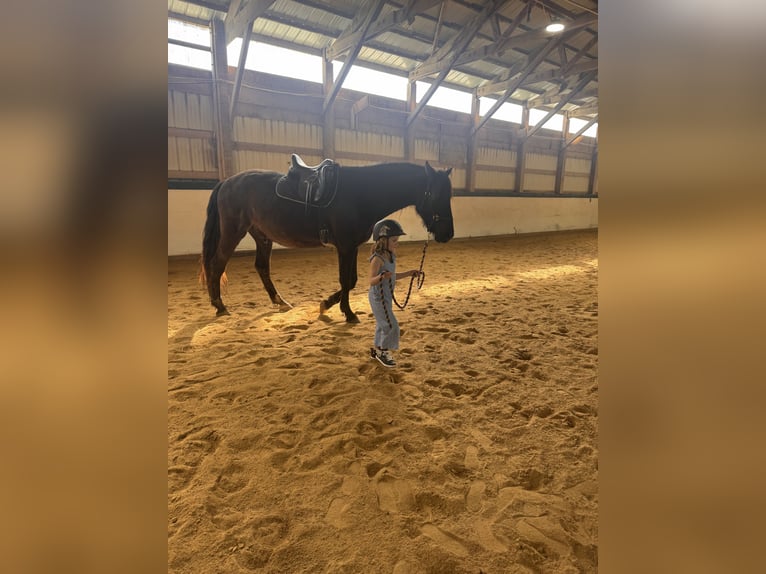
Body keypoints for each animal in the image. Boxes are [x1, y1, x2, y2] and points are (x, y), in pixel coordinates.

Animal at [200, 159, 454, 322]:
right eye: (435, 194)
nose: (448, 234)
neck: (361, 193)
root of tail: (226, 182)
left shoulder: (352, 247)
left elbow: (352, 280)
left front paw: (327, 305)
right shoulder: (345, 246)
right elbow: (346, 280)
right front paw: (347, 313)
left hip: (262, 236)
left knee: (261, 267)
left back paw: (280, 302)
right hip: (233, 232)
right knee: (218, 263)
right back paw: (220, 306)